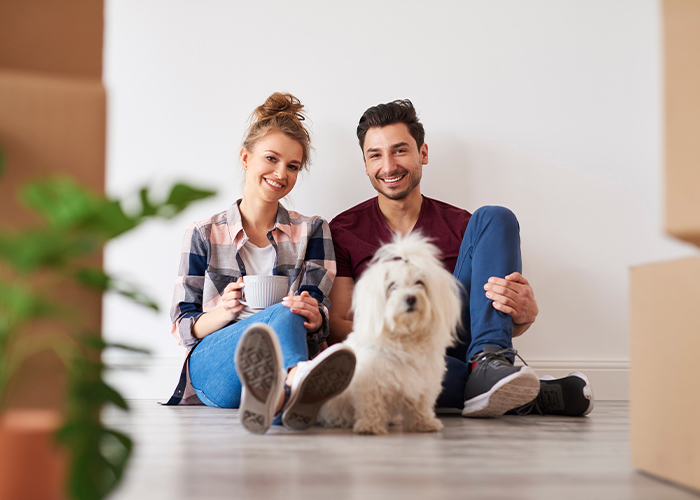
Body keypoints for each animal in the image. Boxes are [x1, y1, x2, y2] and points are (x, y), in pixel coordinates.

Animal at [318, 233, 462, 434]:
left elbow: (421, 404)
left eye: (420, 283)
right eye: (392, 286)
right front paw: (369, 426)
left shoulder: (423, 381)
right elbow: (372, 404)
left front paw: (424, 423)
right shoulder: (370, 382)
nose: (410, 298)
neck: (405, 335)